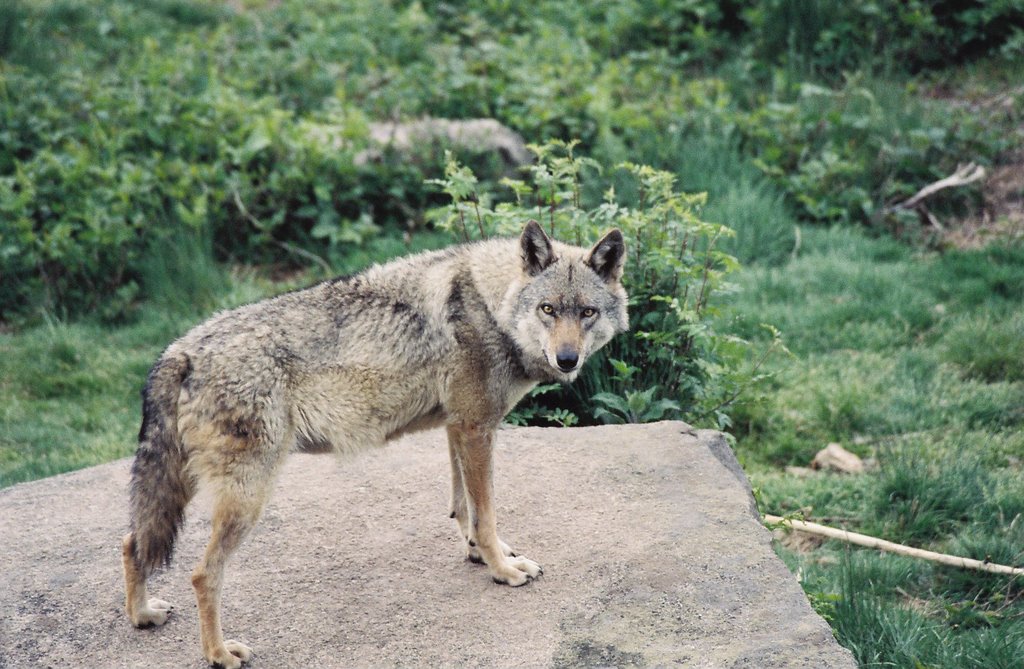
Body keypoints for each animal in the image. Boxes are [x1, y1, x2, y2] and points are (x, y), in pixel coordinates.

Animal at [122, 218, 626, 663]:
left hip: (185, 489)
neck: (490, 304)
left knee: (131, 543)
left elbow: (464, 508)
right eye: (548, 310)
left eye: (586, 312)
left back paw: (143, 615)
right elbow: (486, 515)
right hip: (246, 500)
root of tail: (179, 350)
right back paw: (220, 654)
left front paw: (483, 556)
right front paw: (503, 570)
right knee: (201, 574)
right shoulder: (476, 429)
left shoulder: (457, 428)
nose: (567, 359)